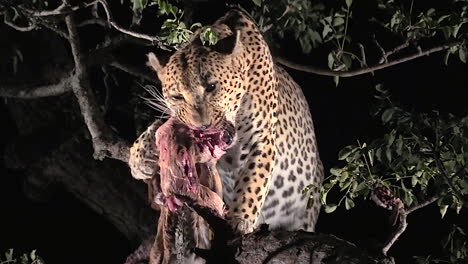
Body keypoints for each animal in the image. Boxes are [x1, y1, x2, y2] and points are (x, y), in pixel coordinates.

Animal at [129, 8, 326, 235]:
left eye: (212, 87)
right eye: (178, 96)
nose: (202, 125)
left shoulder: (263, 140)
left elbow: (253, 180)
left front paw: (241, 218)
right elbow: (162, 127)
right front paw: (139, 156)